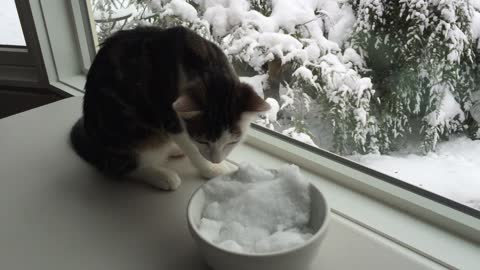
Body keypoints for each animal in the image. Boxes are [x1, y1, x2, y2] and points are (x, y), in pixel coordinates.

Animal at [70, 25, 270, 190]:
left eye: (231, 142)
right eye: (203, 141)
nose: (216, 159)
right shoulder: (167, 113)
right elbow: (191, 147)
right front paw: (212, 169)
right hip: (127, 130)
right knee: (119, 167)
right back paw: (161, 176)